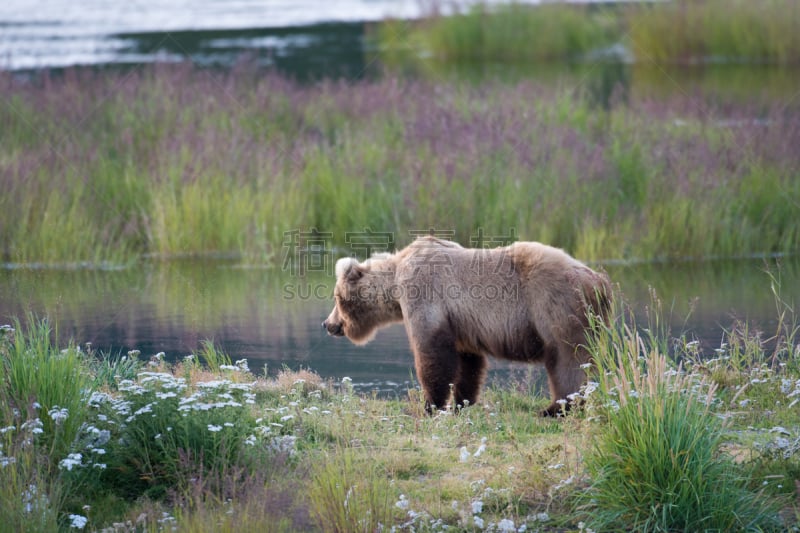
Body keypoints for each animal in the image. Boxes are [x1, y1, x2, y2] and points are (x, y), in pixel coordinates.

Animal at [322, 237, 608, 416]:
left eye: (336, 297)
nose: (328, 324)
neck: (395, 282)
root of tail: (599, 281)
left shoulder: (425, 295)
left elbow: (432, 354)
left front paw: (431, 405)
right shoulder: (462, 323)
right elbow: (468, 364)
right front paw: (462, 402)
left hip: (556, 307)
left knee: (567, 360)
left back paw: (555, 408)